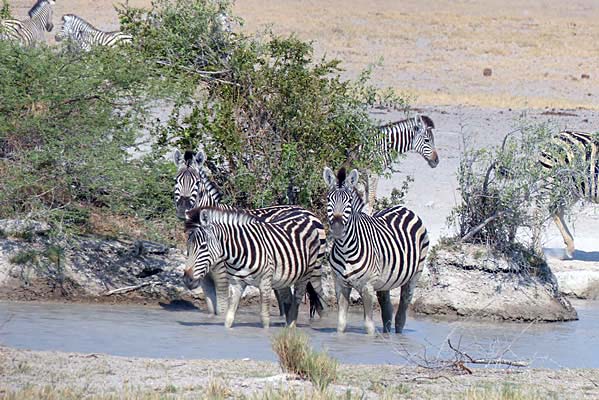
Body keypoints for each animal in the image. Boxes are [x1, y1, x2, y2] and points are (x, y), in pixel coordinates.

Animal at [172, 148, 328, 320]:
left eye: (197, 182)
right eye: (175, 181)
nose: (183, 210)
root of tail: (307, 211)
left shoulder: (223, 275)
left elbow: (222, 309)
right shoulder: (204, 276)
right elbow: (213, 310)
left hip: (313, 267)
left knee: (319, 298)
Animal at [324, 166, 432, 334]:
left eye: (349, 201)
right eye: (329, 199)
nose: (336, 227)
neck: (345, 248)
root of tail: (404, 208)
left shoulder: (367, 287)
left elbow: (369, 327)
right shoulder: (340, 285)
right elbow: (341, 325)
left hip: (414, 275)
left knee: (401, 315)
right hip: (384, 282)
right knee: (387, 312)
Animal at [536, 130, 596, 258]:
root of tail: (555, 136)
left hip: (572, 189)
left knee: (554, 208)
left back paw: (569, 248)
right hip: (552, 181)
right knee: (539, 211)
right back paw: (537, 252)